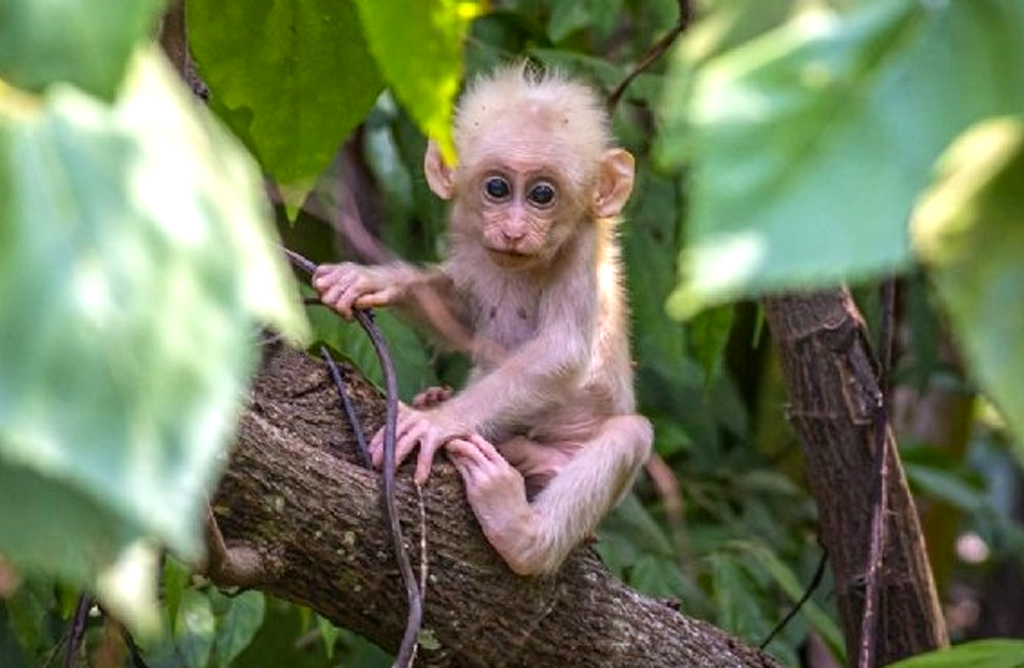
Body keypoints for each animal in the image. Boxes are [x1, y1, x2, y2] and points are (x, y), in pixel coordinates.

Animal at [315, 64, 651, 573]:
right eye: (497, 188)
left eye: (542, 194)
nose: (513, 230)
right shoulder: (472, 240)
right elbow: (460, 315)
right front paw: (372, 280)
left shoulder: (582, 249)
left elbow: (563, 351)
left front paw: (437, 423)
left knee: (630, 433)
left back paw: (520, 533)